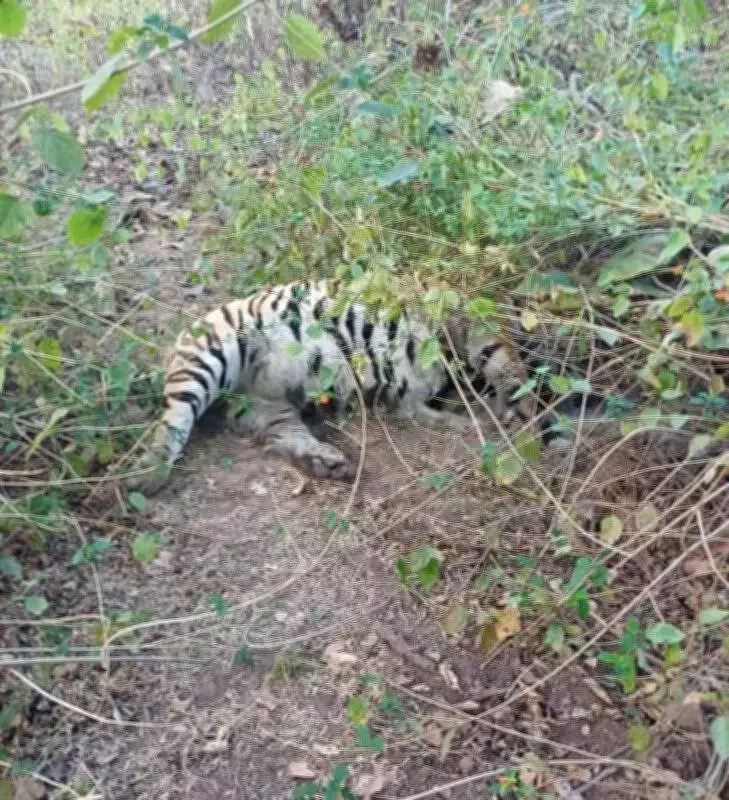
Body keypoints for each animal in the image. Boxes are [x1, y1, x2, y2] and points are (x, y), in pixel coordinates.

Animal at [131, 279, 561, 493]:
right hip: (212, 353)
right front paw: (519, 415)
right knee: (172, 419)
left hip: (269, 407)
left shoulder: (412, 396)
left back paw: (324, 461)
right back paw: (143, 476)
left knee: (278, 436)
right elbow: (507, 374)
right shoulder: (472, 327)